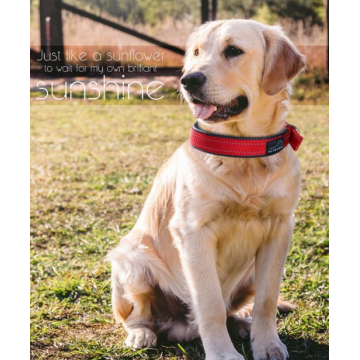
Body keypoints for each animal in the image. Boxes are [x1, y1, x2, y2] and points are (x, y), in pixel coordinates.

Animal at [107, 19, 304, 360]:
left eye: (233, 50)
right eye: (197, 52)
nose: (188, 80)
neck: (241, 150)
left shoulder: (280, 228)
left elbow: (266, 299)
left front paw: (267, 344)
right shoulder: (193, 231)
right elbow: (209, 303)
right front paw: (223, 353)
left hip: (249, 272)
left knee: (233, 310)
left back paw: (242, 324)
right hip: (130, 261)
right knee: (137, 315)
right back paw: (142, 334)